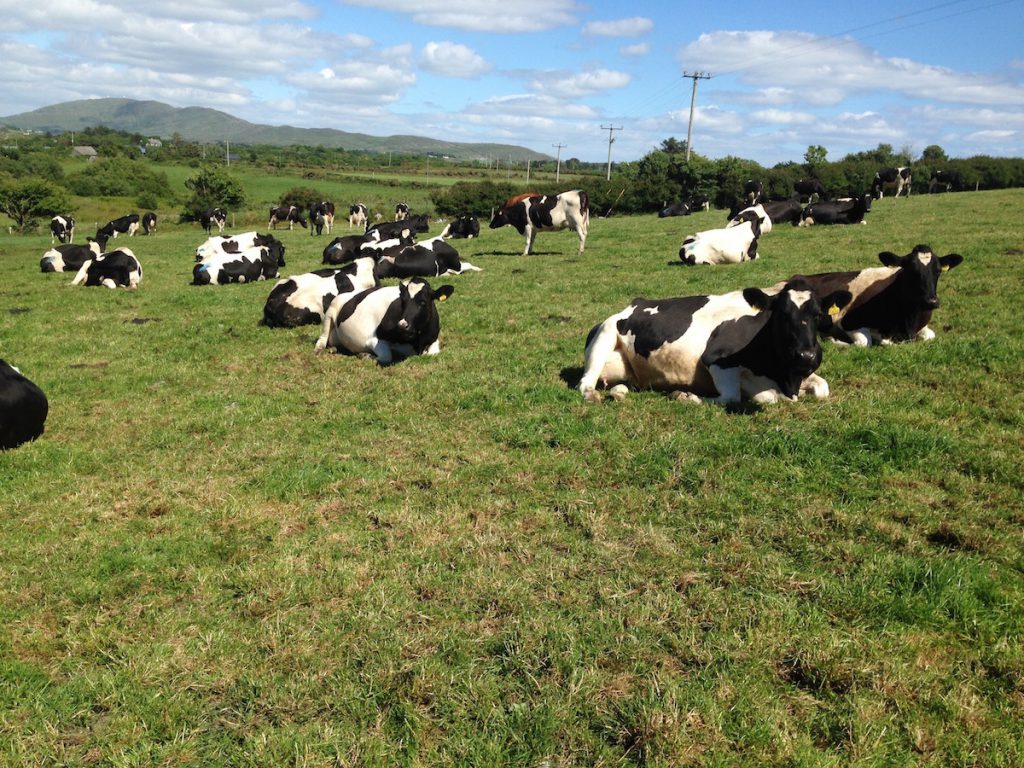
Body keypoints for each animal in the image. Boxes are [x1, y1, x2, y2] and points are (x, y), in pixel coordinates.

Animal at [314, 278, 455, 365]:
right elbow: (387, 356)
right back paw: (320, 349)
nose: (402, 325)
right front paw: (365, 355)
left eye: (423, 302)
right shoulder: (374, 340)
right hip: (330, 312)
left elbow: (433, 353)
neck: (417, 343)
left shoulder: (433, 339)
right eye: (402, 301)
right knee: (323, 338)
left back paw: (334, 348)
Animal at [578, 279, 852, 405]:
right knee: (585, 382)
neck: (784, 376)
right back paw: (593, 394)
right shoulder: (716, 360)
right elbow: (735, 396)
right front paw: (684, 395)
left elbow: (822, 388)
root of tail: (635, 303)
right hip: (604, 336)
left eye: (817, 315)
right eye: (782, 315)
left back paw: (620, 391)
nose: (807, 356)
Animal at [785, 245, 963, 347]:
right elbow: (865, 341)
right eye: (911, 270)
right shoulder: (846, 322)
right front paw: (833, 340)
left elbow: (930, 336)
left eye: (937, 271)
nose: (931, 301)